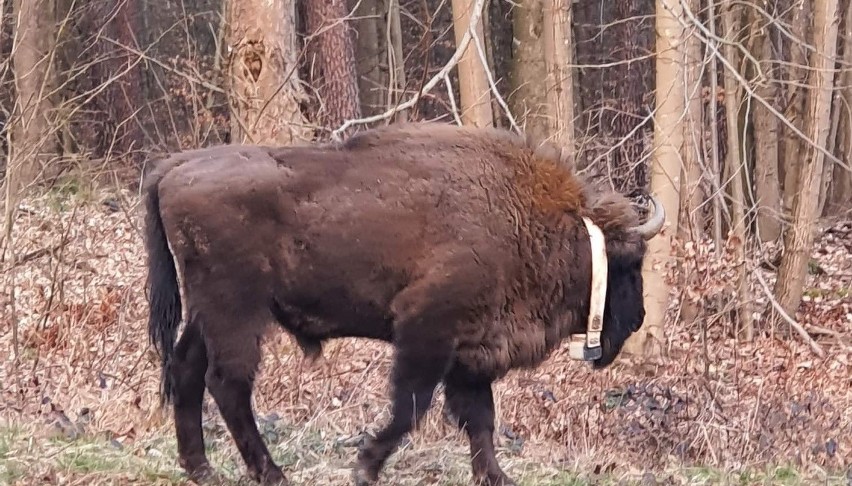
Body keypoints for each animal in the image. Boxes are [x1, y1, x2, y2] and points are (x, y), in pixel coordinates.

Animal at [145, 122, 664, 486]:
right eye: (629, 264)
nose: (638, 319)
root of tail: (171, 168)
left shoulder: (469, 351)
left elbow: (481, 417)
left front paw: (495, 476)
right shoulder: (427, 331)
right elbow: (411, 406)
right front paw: (365, 466)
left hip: (206, 313)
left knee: (187, 368)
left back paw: (201, 469)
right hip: (236, 311)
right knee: (228, 382)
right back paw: (271, 473)